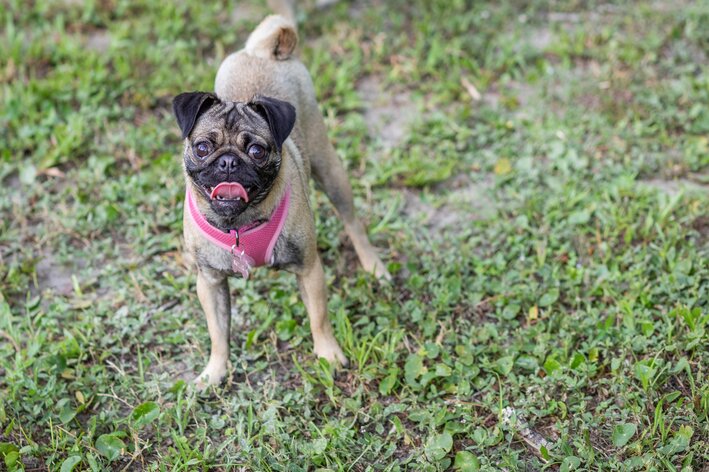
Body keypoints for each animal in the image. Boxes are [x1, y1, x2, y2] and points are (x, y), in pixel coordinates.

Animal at [174, 13, 390, 388]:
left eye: (256, 150)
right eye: (202, 147)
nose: (228, 162)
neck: (239, 224)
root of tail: (263, 52)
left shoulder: (309, 268)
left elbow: (319, 316)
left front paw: (328, 354)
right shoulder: (209, 282)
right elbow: (217, 332)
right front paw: (215, 371)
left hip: (330, 169)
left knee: (352, 221)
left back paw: (373, 265)